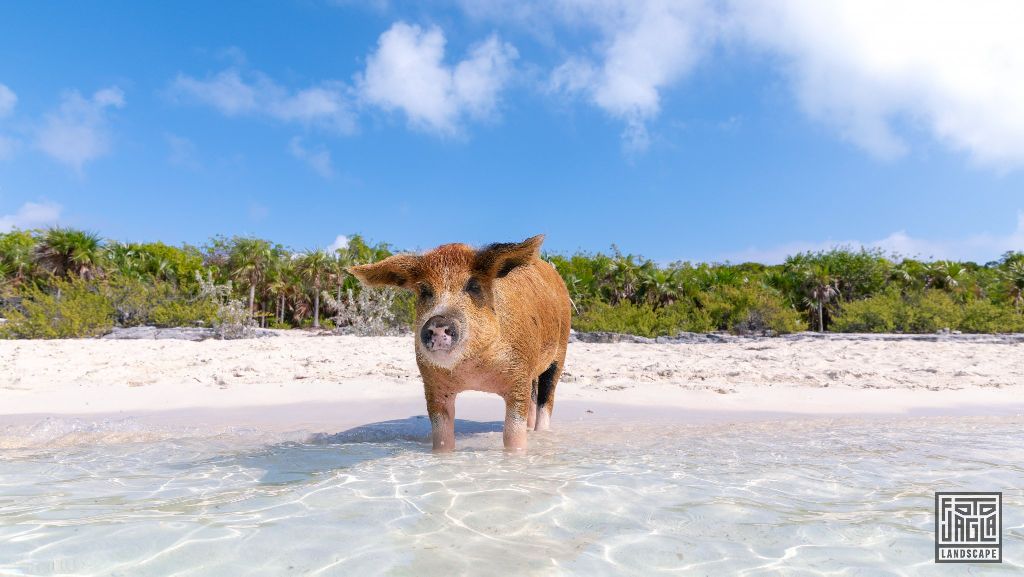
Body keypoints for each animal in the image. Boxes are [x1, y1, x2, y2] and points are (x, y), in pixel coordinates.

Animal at [348, 234, 573, 450]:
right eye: (424, 290)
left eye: (473, 286)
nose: (438, 321)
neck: (473, 371)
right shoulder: (433, 386)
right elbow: (442, 438)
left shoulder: (519, 375)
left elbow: (512, 435)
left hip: (560, 349)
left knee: (546, 398)